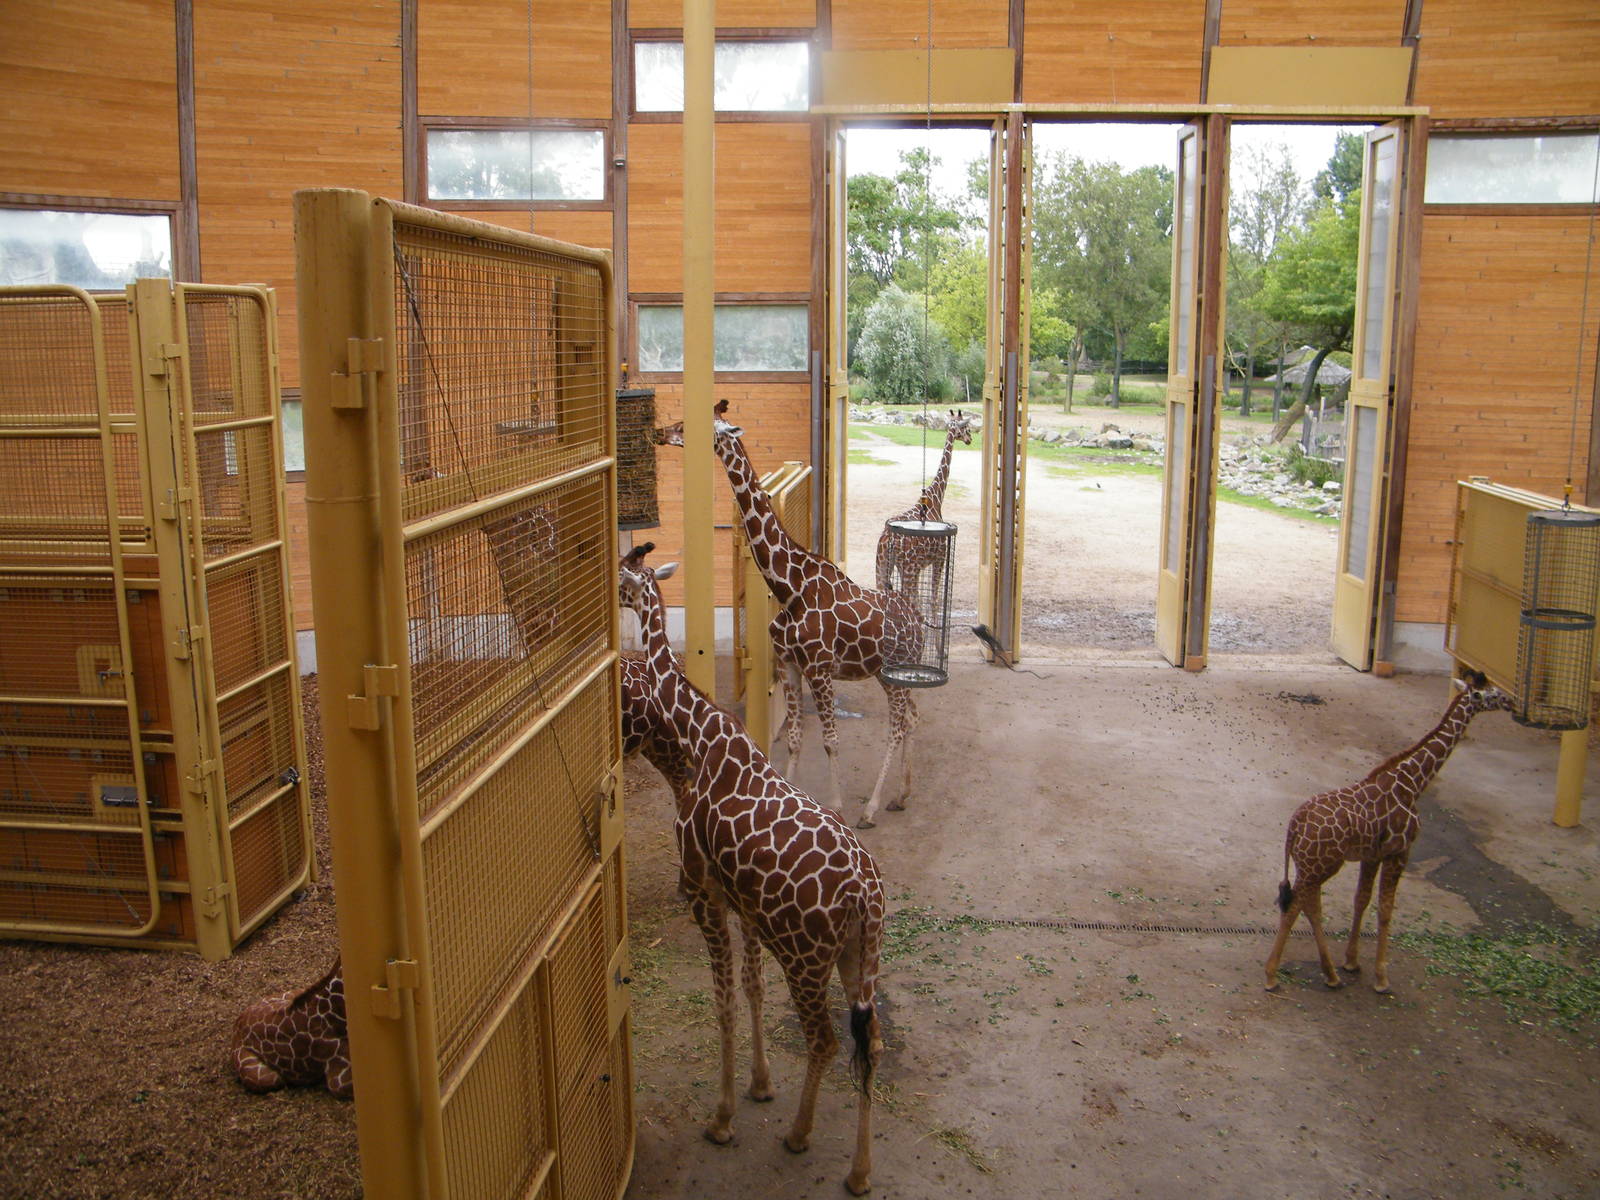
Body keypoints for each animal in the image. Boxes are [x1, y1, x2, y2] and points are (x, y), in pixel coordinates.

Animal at [619, 545, 887, 1196]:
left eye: (625, 578)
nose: (613, 597)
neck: (701, 735)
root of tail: (866, 895)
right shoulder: (742, 901)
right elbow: (751, 988)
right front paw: (759, 1085)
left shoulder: (701, 890)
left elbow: (723, 1002)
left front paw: (722, 1119)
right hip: (857, 955)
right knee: (870, 1040)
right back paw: (860, 1172)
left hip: (806, 957)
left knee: (825, 1040)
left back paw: (799, 1135)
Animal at [657, 401, 924, 829]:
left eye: (692, 424)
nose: (663, 433)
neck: (790, 588)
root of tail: (917, 621)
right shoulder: (788, 664)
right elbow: (796, 739)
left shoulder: (819, 667)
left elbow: (830, 741)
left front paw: (837, 806)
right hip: (889, 675)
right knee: (912, 719)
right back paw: (901, 795)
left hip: (896, 672)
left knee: (897, 726)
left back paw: (870, 808)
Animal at [875, 409, 974, 596]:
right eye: (967, 428)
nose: (970, 440)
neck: (936, 497)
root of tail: (887, 540)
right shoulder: (940, 558)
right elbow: (934, 596)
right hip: (908, 568)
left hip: (882, 566)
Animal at [1264, 671, 1514, 995]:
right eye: (1489, 694)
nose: (1510, 700)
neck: (1413, 783)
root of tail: (1294, 825)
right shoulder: (1400, 851)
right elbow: (1385, 909)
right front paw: (1381, 978)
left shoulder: (1372, 855)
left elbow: (1362, 899)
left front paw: (1352, 962)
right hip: (1320, 866)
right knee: (1296, 906)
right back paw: (1273, 975)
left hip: (1313, 866)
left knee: (1309, 905)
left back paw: (1331, 974)